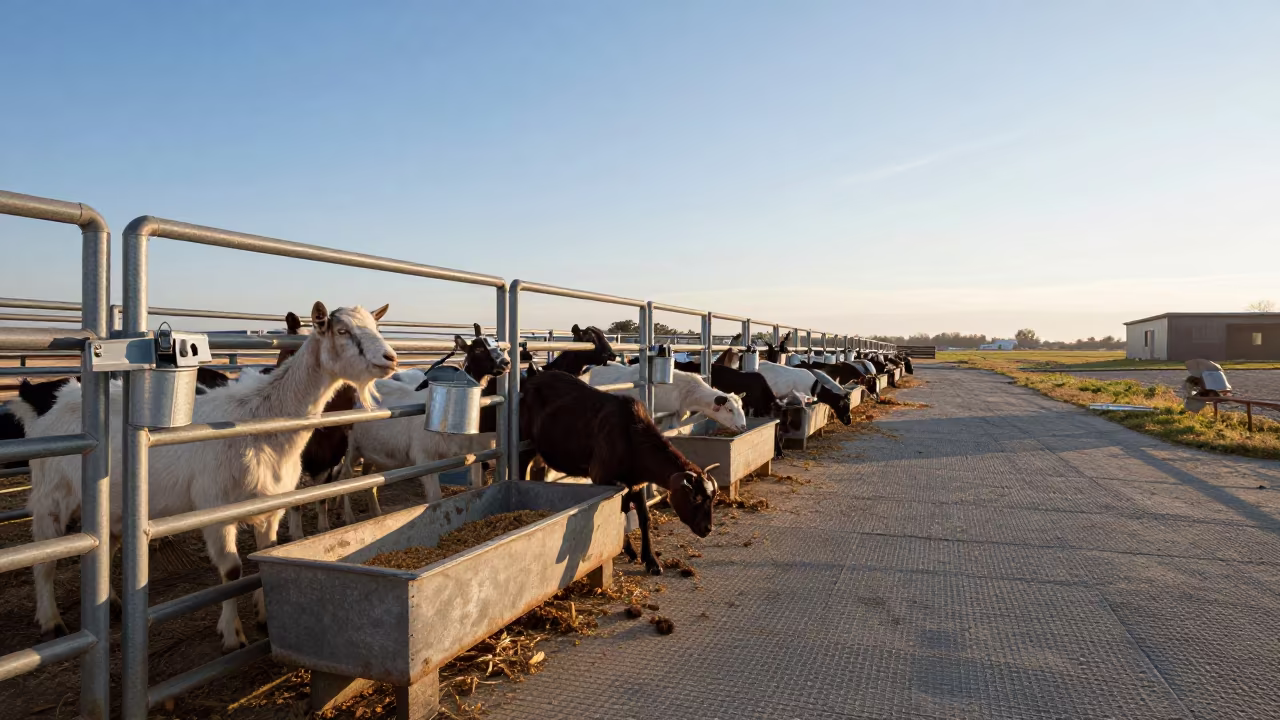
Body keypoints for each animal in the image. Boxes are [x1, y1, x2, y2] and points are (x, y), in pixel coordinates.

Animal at [25, 302, 396, 649]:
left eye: (376, 326)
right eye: (342, 331)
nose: (390, 358)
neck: (260, 420)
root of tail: (57, 405)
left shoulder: (270, 505)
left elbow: (266, 555)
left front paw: (264, 617)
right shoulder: (217, 508)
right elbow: (231, 571)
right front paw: (232, 635)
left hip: (110, 509)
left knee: (104, 551)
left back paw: (113, 604)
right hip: (51, 495)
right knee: (44, 559)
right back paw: (50, 621)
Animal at [517, 365, 718, 575]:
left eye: (712, 498)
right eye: (695, 498)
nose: (707, 528)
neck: (632, 438)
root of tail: (533, 376)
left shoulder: (636, 482)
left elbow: (644, 517)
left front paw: (651, 560)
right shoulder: (603, 478)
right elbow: (619, 511)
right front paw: (628, 549)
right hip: (525, 444)